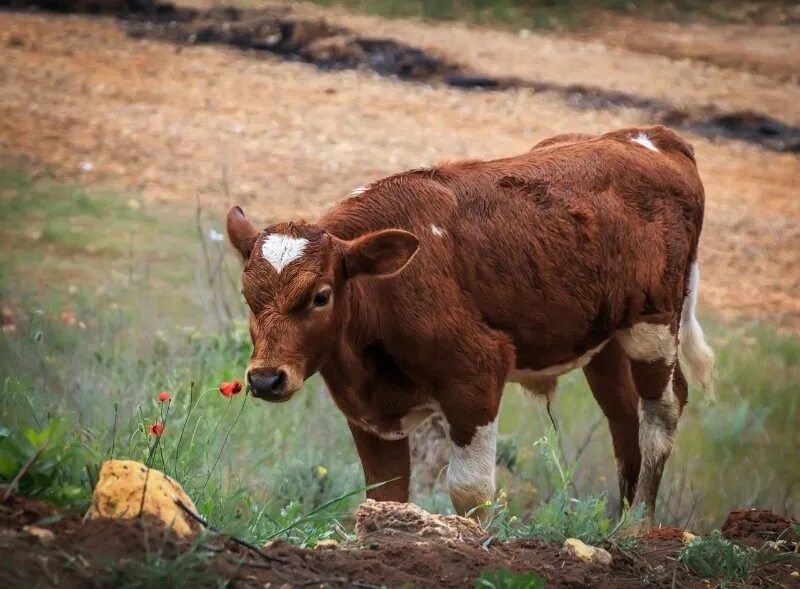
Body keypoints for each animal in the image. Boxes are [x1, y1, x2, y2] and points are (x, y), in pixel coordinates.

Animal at [228, 125, 716, 528]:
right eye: (247, 298)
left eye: (321, 295)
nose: (266, 379)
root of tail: (650, 136)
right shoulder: (369, 415)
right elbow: (385, 494)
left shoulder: (475, 377)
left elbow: (471, 491)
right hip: (606, 342)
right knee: (624, 418)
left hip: (653, 326)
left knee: (661, 413)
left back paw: (638, 529)